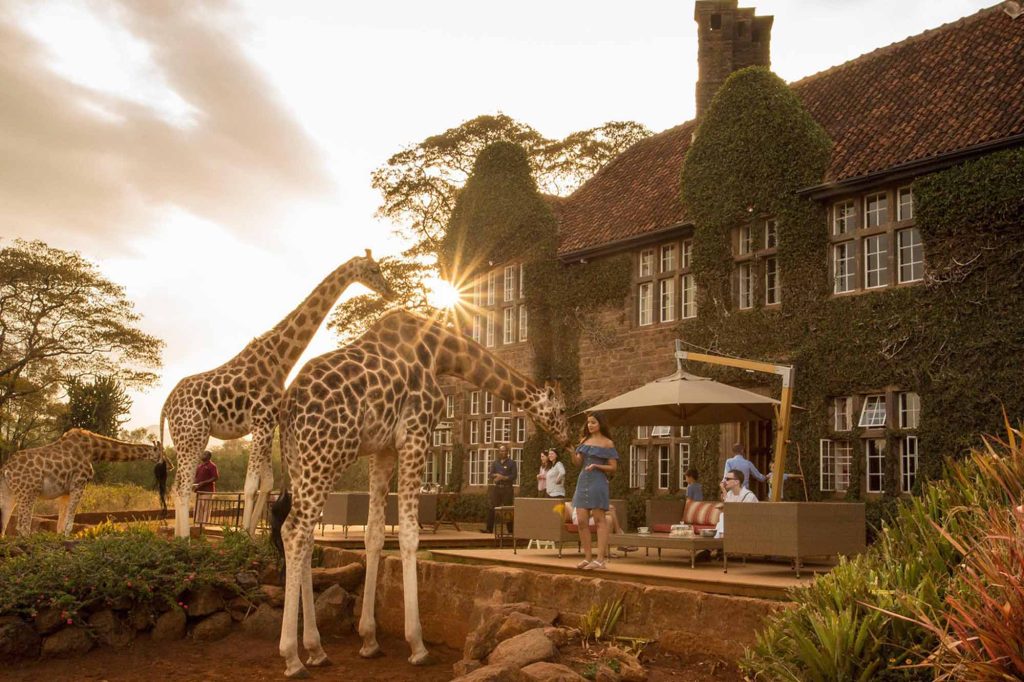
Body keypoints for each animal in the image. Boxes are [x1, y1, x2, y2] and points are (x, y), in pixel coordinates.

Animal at [0, 429, 167, 537]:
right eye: (162, 453)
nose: (170, 465)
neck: (94, 450)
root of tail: (5, 469)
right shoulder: (79, 483)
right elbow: (69, 521)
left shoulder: (66, 491)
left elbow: (61, 523)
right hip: (28, 492)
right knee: (22, 526)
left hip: (9, 493)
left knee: (4, 526)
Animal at [160, 250, 395, 538]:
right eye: (374, 269)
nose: (390, 292)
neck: (279, 360)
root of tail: (166, 404)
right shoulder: (260, 421)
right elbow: (250, 485)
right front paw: (242, 536)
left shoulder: (268, 423)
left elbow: (267, 483)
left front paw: (251, 534)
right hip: (192, 434)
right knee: (182, 486)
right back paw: (185, 539)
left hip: (191, 436)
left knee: (177, 485)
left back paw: (179, 537)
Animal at [271, 309, 572, 678]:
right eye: (561, 410)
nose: (569, 440)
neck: (441, 354)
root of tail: (288, 405)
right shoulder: (415, 435)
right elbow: (409, 535)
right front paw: (417, 645)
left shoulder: (383, 448)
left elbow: (374, 534)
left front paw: (369, 640)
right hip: (327, 454)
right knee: (295, 531)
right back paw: (292, 657)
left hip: (300, 461)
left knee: (305, 534)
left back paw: (316, 649)